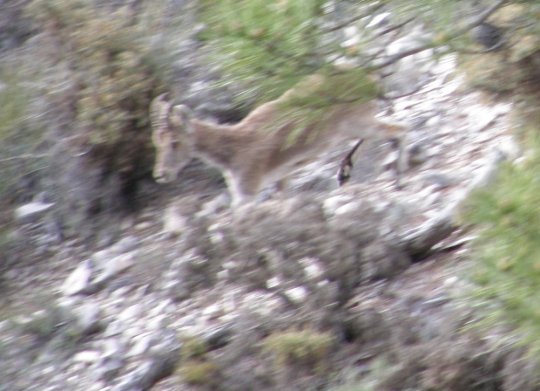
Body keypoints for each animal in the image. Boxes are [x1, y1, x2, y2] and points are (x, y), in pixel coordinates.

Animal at [150, 74, 408, 208]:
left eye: (174, 142)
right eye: (156, 143)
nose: (161, 174)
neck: (234, 146)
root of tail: (370, 78)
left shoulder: (248, 192)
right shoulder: (280, 180)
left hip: (358, 123)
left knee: (400, 130)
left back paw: (396, 179)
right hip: (353, 128)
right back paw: (346, 172)